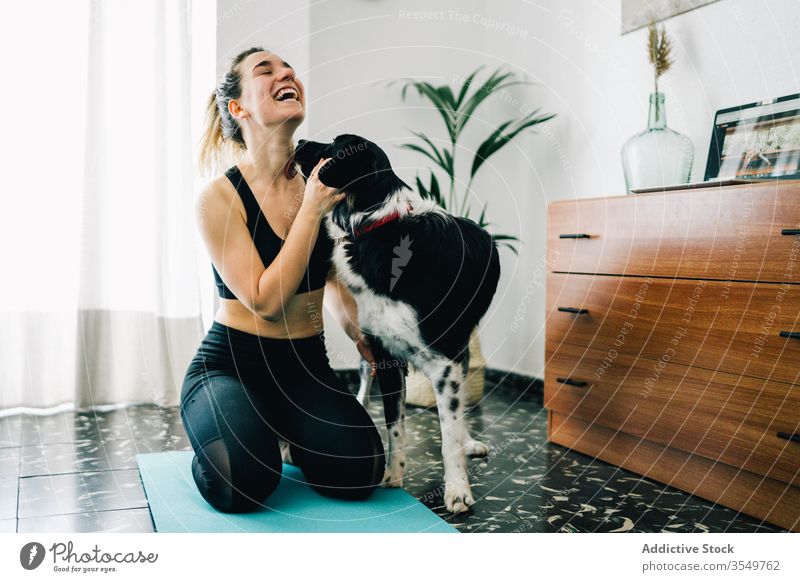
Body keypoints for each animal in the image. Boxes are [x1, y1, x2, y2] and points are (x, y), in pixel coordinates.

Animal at [290, 135, 500, 512]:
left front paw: (457, 490)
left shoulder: (445, 362)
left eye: (336, 148)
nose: (298, 140)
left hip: (460, 349)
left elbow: (447, 434)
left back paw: (467, 442)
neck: (380, 225)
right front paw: (393, 477)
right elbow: (394, 426)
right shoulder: (384, 355)